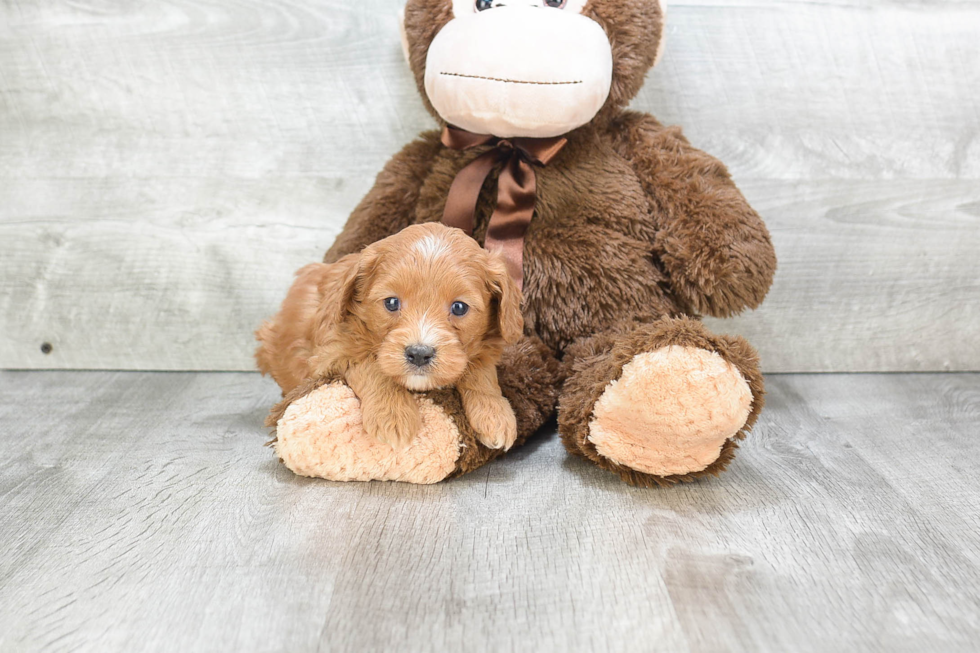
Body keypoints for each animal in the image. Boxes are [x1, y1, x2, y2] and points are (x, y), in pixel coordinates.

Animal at [256, 222, 524, 450]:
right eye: (392, 303)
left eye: (459, 307)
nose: (419, 354)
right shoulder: (333, 352)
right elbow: (372, 366)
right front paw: (394, 414)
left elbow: (481, 371)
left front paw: (495, 413)